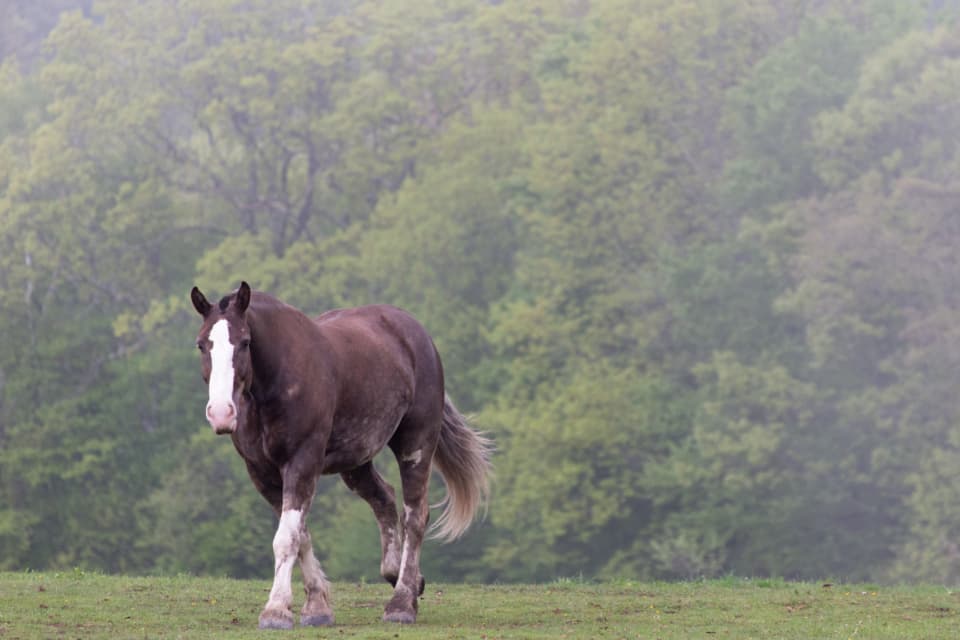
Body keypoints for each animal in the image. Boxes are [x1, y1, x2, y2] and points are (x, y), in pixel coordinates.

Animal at [190, 282, 493, 628]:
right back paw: (404, 578)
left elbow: (287, 537)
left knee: (415, 515)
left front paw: (276, 610)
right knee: (384, 499)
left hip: (416, 444)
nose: (221, 413)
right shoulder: (262, 473)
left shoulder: (302, 462)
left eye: (244, 342)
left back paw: (401, 602)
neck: (276, 383)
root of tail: (416, 333)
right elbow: (301, 534)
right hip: (356, 460)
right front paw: (316, 606)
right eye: (202, 344)